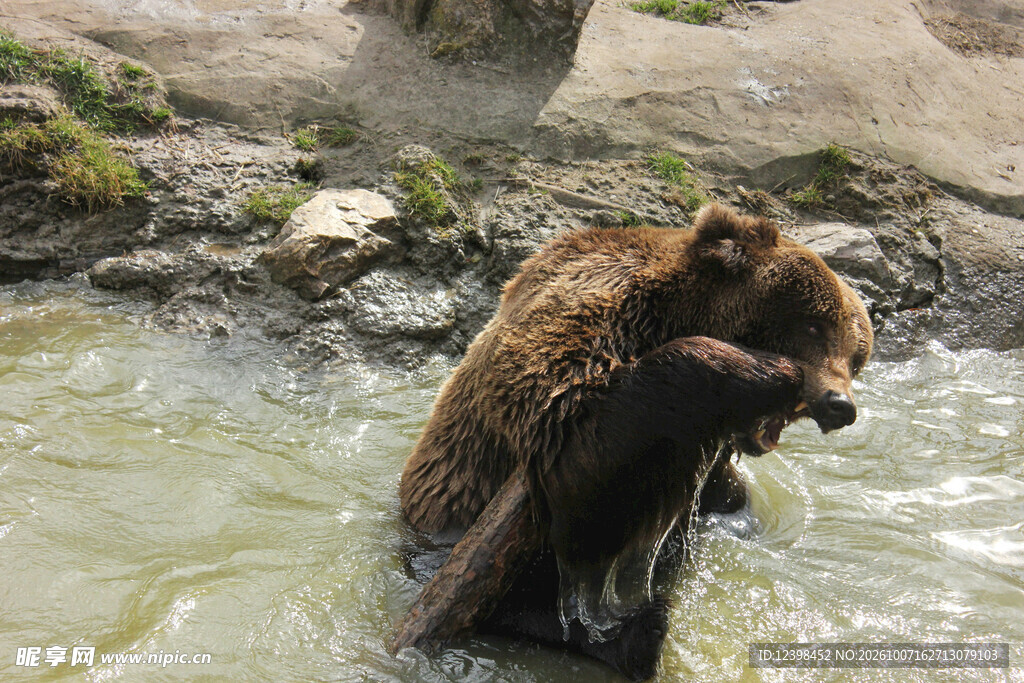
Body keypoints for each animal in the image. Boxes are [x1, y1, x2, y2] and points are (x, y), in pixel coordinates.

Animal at [399, 203, 873, 678]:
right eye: (813, 325)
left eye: (856, 354)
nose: (839, 404)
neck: (670, 312)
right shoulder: (585, 321)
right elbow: (573, 452)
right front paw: (766, 370)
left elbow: (726, 496)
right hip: (445, 532)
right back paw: (637, 632)